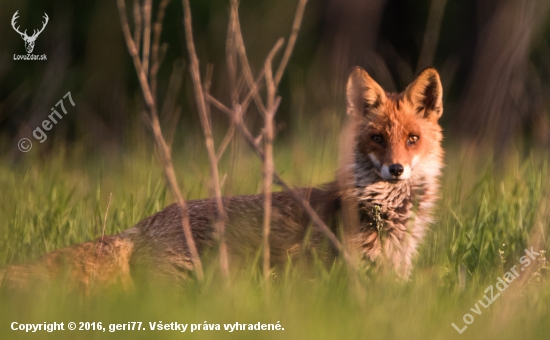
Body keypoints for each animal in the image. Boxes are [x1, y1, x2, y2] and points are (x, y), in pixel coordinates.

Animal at [1, 67, 444, 290]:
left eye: (412, 139)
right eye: (377, 138)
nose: (396, 170)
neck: (386, 212)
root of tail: (142, 225)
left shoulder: (391, 277)